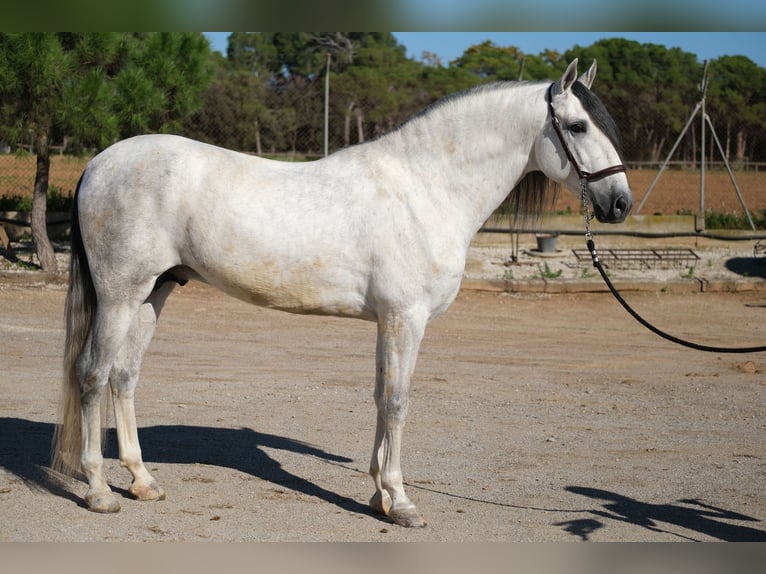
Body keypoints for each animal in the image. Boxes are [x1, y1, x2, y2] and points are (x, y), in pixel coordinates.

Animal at [52, 60, 632, 528]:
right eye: (577, 126)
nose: (620, 203)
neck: (426, 187)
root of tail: (99, 163)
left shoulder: (389, 321)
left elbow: (380, 396)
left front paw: (379, 494)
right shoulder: (405, 318)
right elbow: (397, 401)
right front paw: (401, 503)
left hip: (155, 292)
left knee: (124, 377)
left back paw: (143, 481)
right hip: (119, 295)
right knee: (92, 374)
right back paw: (100, 491)